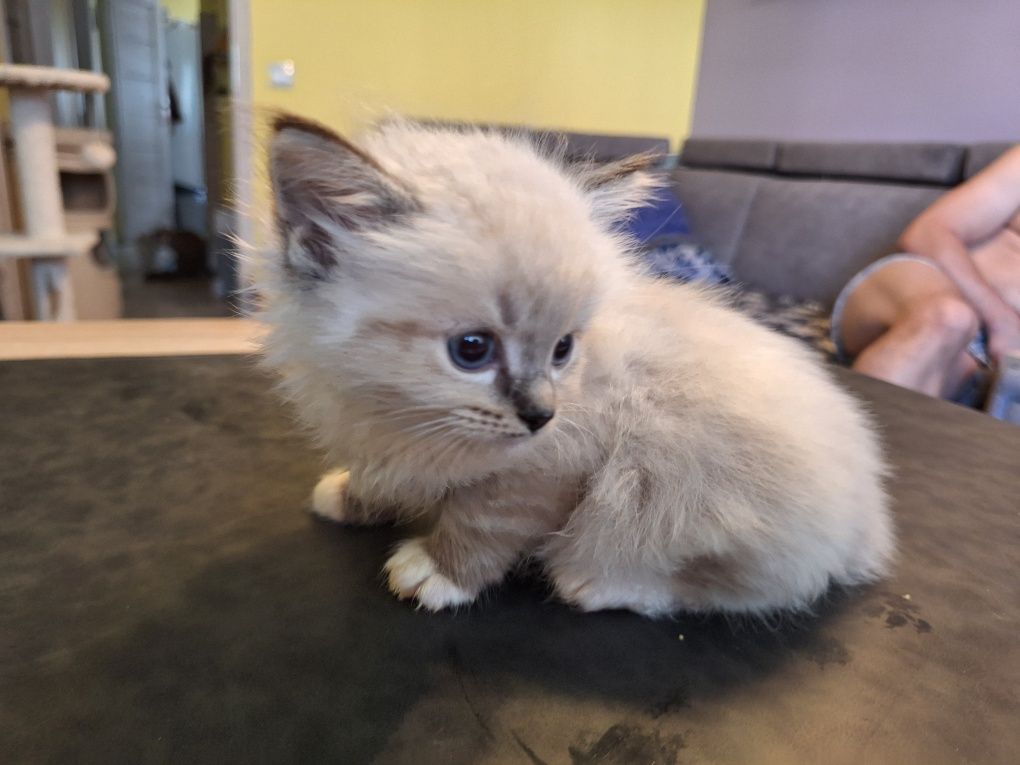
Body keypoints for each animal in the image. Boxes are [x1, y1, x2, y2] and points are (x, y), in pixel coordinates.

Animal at [253, 113, 894, 616]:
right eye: (472, 350)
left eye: (563, 348)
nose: (542, 415)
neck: (399, 415)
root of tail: (867, 519)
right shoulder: (386, 440)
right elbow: (384, 480)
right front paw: (349, 497)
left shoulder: (557, 464)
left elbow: (486, 519)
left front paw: (440, 571)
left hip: (687, 496)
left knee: (740, 588)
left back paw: (595, 582)